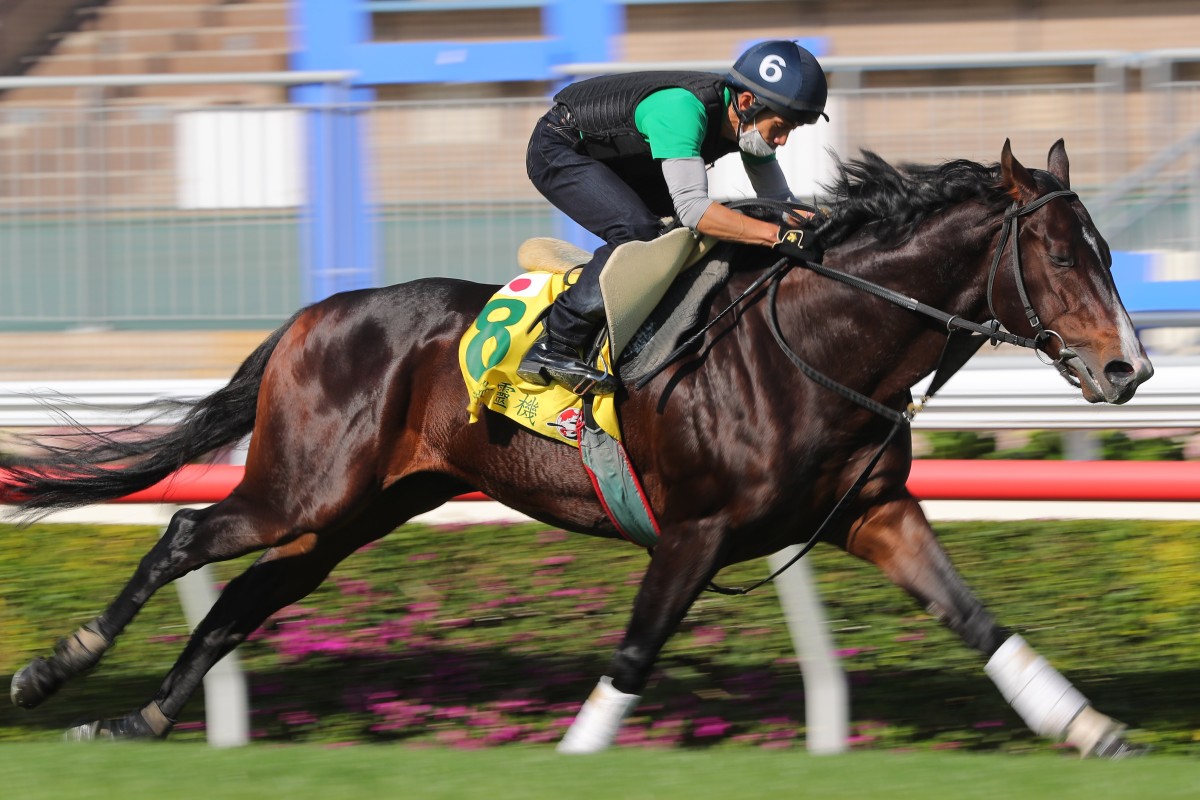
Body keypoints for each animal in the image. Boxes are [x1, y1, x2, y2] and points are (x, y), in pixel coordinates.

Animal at [7, 139, 1152, 758]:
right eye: (1061, 256)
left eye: (1104, 251)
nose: (1130, 368)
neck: (819, 345)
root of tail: (311, 314)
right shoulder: (697, 530)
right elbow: (637, 652)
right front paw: (575, 750)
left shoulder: (876, 514)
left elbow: (978, 619)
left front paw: (1091, 727)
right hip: (304, 485)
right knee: (183, 531)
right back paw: (56, 672)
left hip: (355, 510)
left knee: (243, 597)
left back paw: (141, 719)